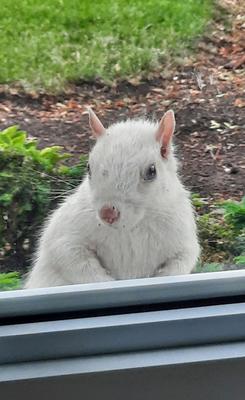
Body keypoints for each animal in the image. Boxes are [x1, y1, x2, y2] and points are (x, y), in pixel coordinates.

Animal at [24, 106, 199, 288]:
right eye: (88, 167)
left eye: (152, 171)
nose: (107, 213)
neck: (130, 228)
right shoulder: (67, 233)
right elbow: (70, 257)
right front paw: (106, 282)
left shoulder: (181, 239)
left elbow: (182, 261)